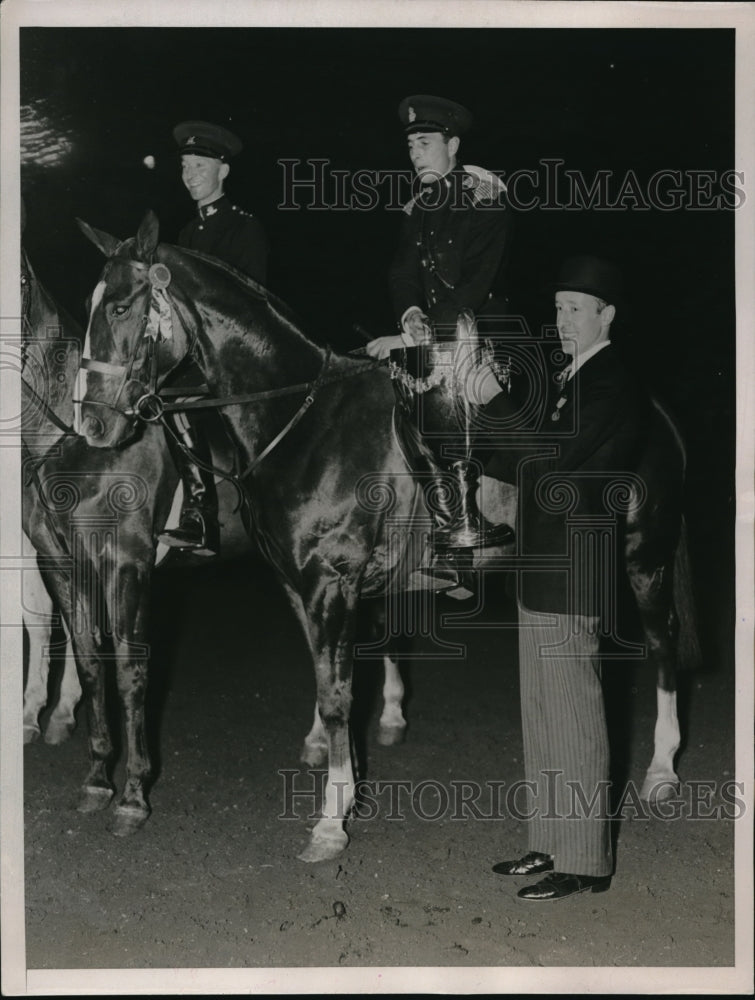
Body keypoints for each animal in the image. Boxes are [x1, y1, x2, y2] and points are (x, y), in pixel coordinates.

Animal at [74, 211, 700, 860]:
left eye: (120, 306)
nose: (89, 422)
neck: (299, 419)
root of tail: (654, 407)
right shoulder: (299, 584)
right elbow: (328, 679)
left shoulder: (330, 584)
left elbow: (338, 694)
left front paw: (331, 820)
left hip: (644, 557)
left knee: (662, 643)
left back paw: (661, 770)